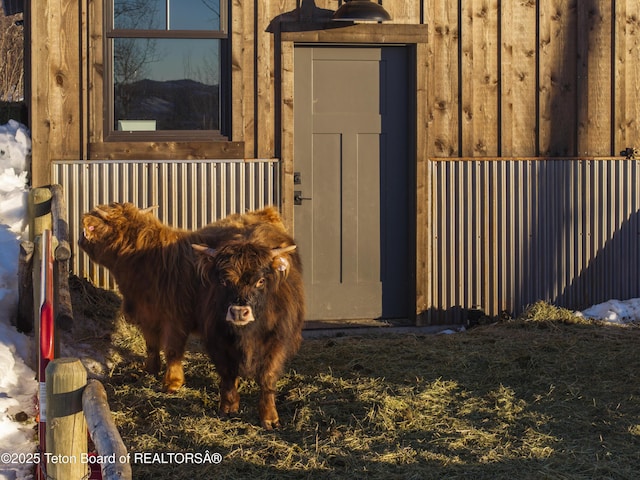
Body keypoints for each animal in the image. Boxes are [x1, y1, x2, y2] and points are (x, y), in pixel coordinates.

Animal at [77, 202, 282, 394]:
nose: (80, 238)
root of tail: (266, 214)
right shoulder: (148, 314)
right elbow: (151, 345)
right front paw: (150, 370)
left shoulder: (175, 317)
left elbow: (172, 350)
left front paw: (172, 383)